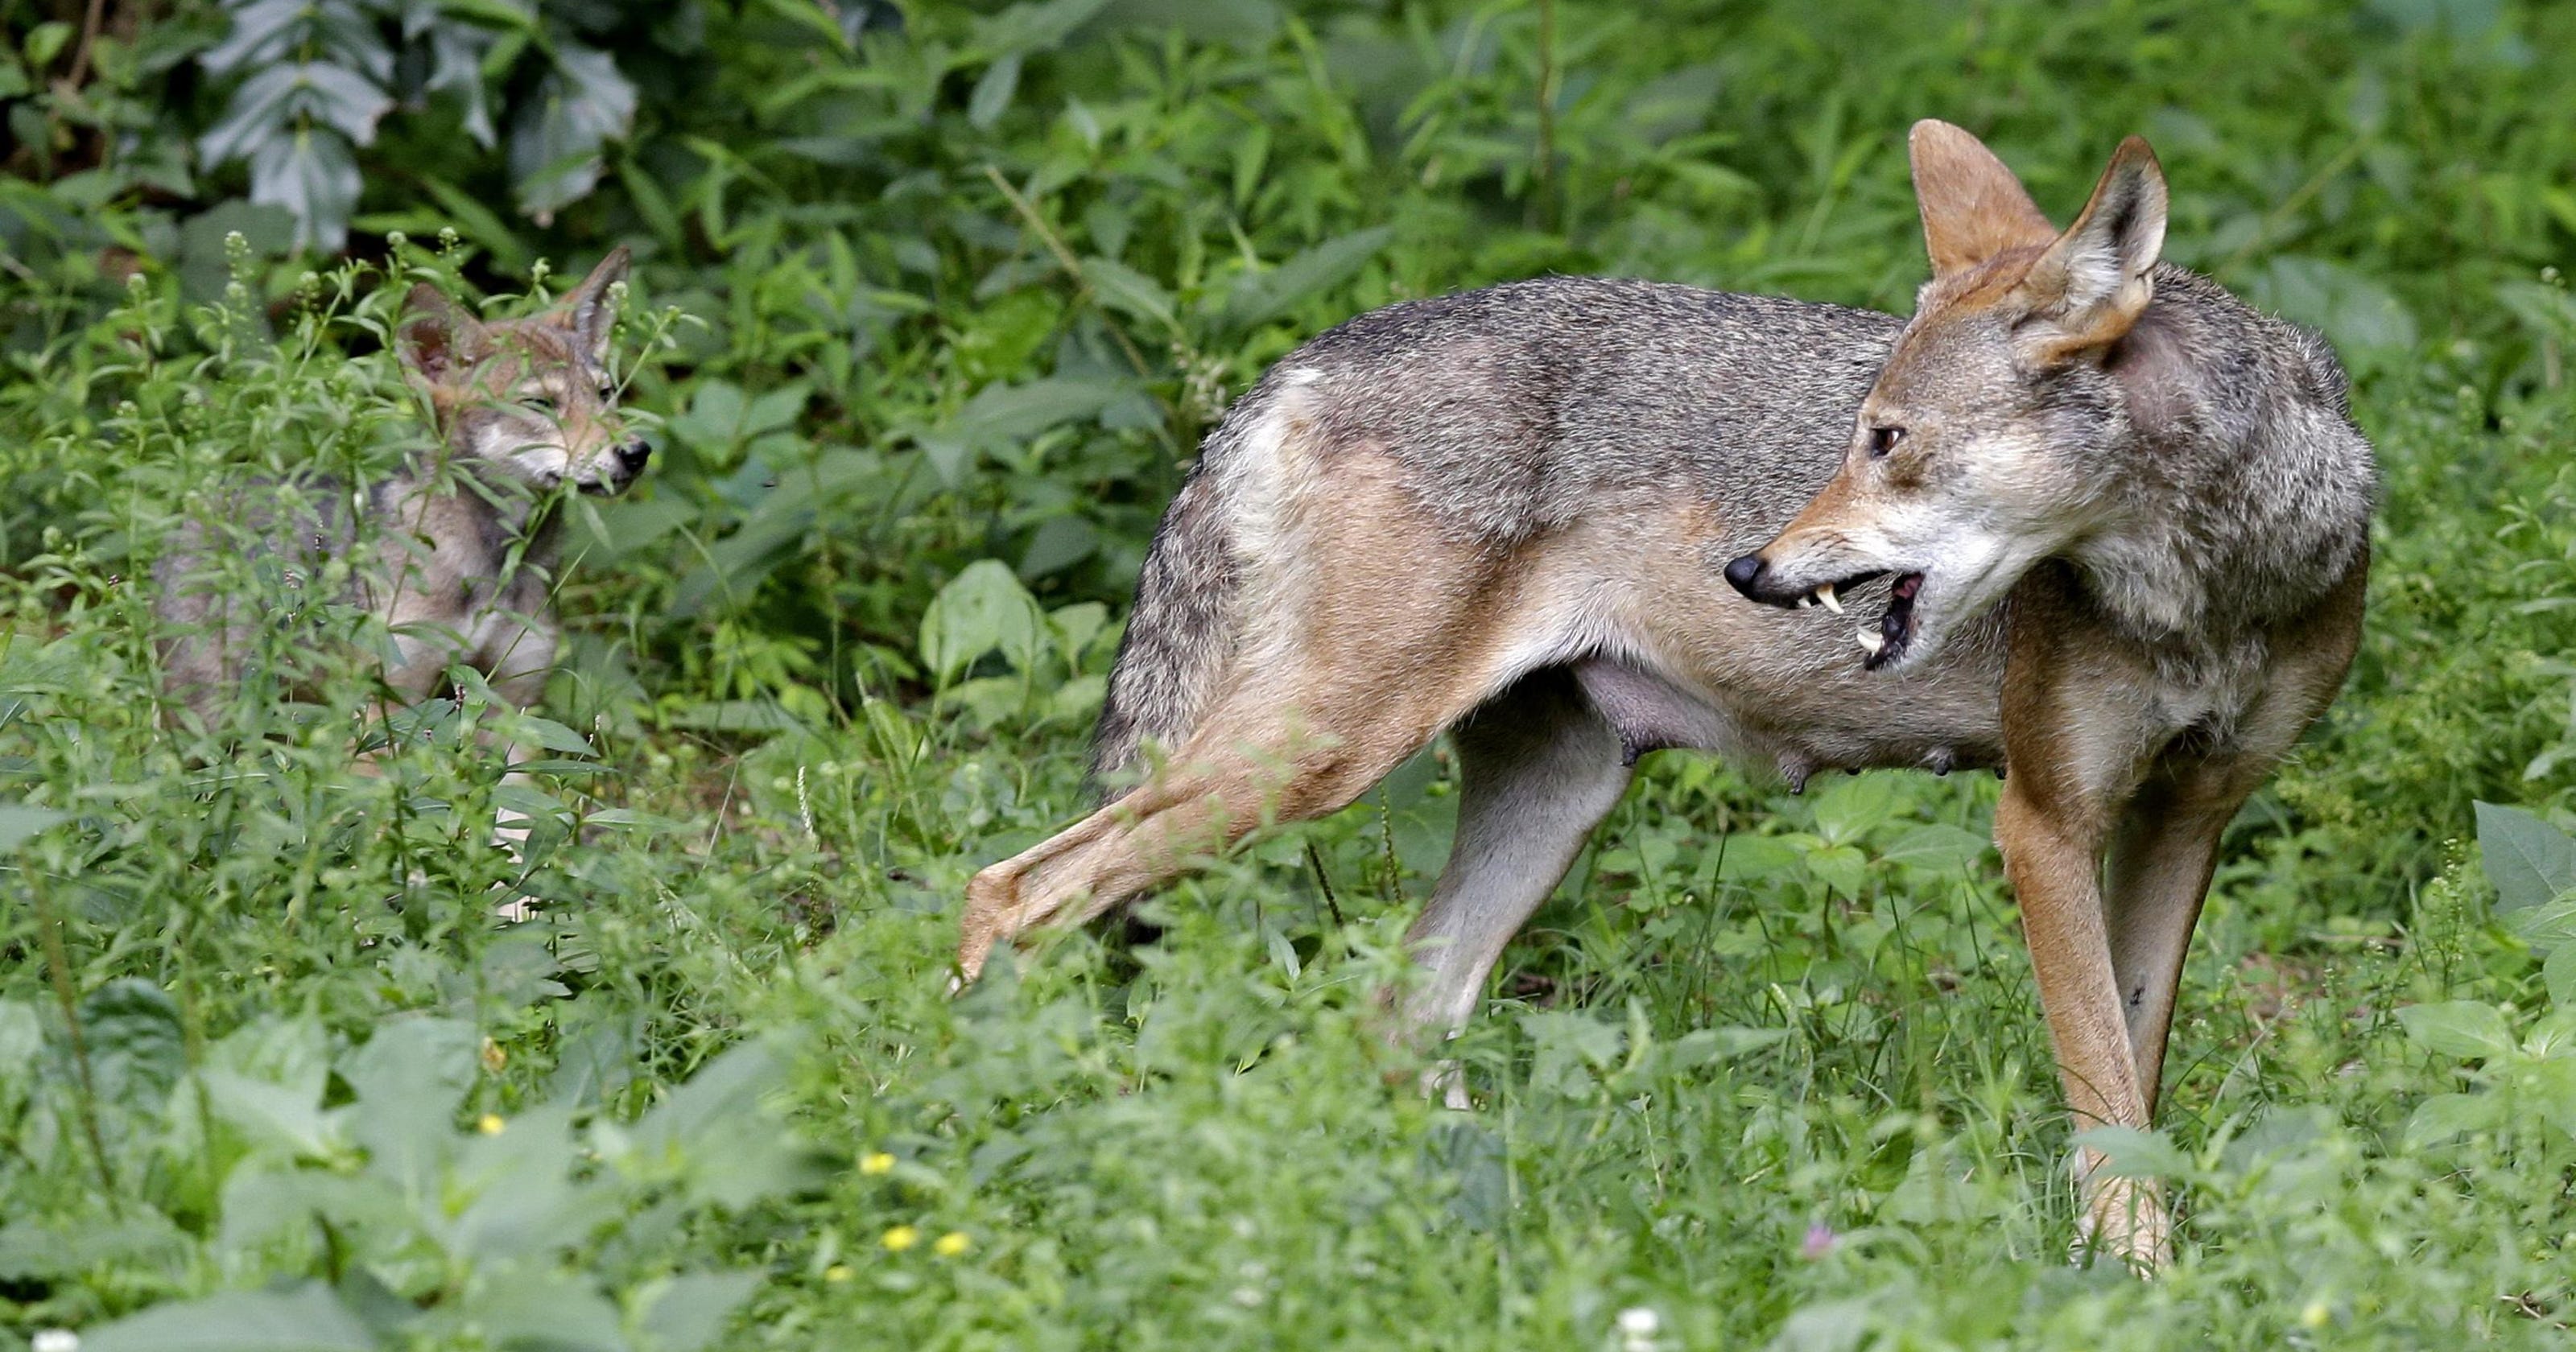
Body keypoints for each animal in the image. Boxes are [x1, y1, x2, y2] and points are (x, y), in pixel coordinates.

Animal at [155, 248, 647, 840]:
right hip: (212, 723)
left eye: (606, 394)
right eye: (539, 404)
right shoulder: (383, 712)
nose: (637, 452)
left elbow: (511, 833)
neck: (492, 566)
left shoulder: (512, 710)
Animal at [957, 123, 2375, 1268]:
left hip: (1550, 801)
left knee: (1400, 1011)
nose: (1749, 568)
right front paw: (2133, 1277)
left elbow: (2133, 1078)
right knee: (1011, 892)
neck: (2219, 585)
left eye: (1887, 442)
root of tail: (1300, 361)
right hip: (1309, 765)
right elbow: (2102, 1088)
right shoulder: (2041, 822)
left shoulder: (2187, 818)